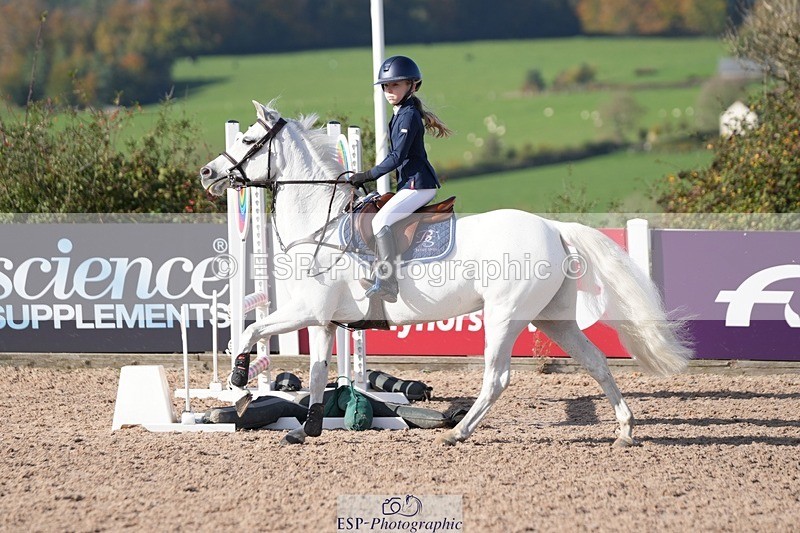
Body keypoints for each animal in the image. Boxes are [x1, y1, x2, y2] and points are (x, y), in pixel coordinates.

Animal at [199, 100, 692, 447]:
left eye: (248, 139)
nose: (207, 173)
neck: (320, 221)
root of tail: (553, 228)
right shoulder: (323, 319)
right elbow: (320, 372)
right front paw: (308, 428)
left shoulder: (305, 310)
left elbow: (251, 331)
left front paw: (239, 386)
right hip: (553, 317)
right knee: (596, 363)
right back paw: (625, 431)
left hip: (505, 316)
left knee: (497, 378)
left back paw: (458, 431)